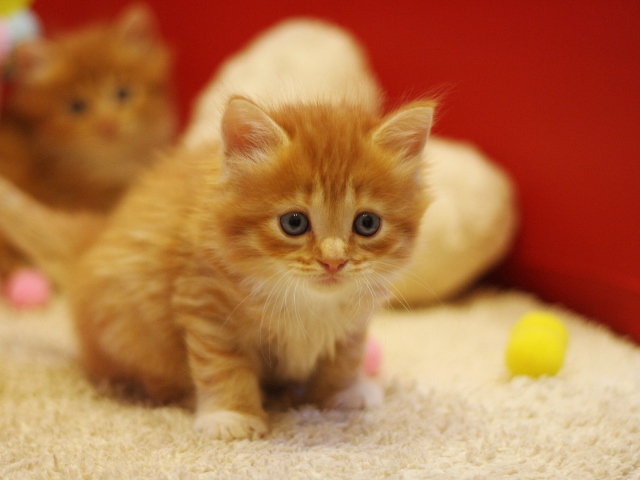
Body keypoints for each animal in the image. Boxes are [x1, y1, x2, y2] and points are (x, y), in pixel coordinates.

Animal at [0, 94, 436, 438]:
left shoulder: (354, 317)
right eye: (294, 223)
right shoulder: (205, 305)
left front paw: (343, 392)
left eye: (367, 223)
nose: (333, 260)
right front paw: (232, 415)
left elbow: (345, 354)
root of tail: (93, 243)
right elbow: (223, 367)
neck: (308, 303)